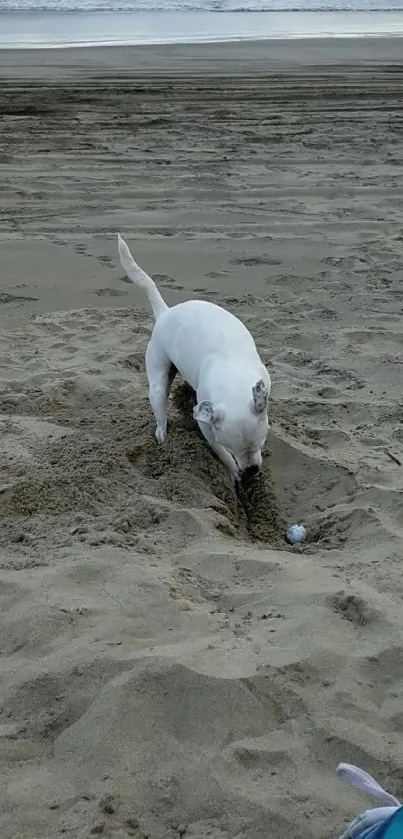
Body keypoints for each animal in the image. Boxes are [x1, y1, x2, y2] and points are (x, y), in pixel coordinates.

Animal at [118, 233, 274, 482]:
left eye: (261, 441)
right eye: (234, 449)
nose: (251, 471)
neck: (231, 376)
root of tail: (165, 312)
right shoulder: (208, 428)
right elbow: (222, 454)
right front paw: (233, 472)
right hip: (157, 381)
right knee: (160, 410)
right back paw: (162, 435)